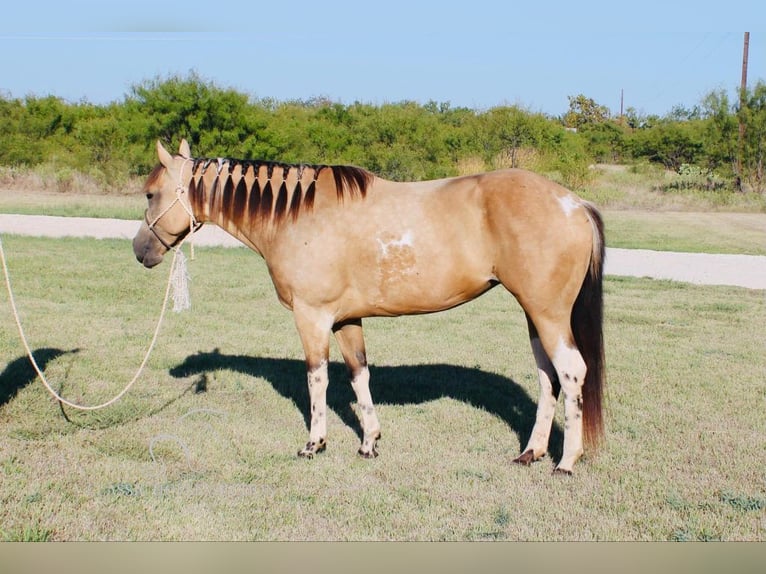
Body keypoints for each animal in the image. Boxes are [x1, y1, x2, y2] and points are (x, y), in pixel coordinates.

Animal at [134, 137, 608, 474]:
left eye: (151, 194)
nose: (140, 250)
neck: (297, 216)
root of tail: (574, 203)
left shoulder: (312, 317)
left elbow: (317, 380)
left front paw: (314, 443)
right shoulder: (347, 320)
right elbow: (359, 376)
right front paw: (369, 442)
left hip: (548, 314)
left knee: (571, 372)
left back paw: (566, 462)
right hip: (534, 315)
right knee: (547, 377)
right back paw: (531, 452)